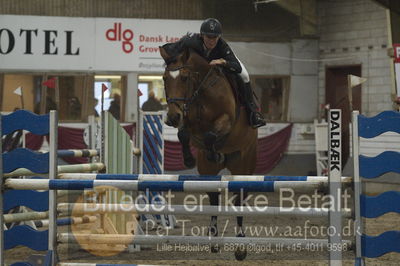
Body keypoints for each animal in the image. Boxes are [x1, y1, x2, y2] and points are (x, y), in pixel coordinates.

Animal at [160, 46, 258, 258]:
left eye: (184, 78)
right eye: (164, 78)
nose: (172, 117)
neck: (200, 91)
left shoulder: (226, 119)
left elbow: (212, 135)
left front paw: (214, 152)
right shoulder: (188, 119)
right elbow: (183, 134)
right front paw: (189, 159)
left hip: (243, 163)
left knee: (240, 197)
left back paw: (240, 245)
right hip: (207, 170)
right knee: (213, 196)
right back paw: (213, 239)